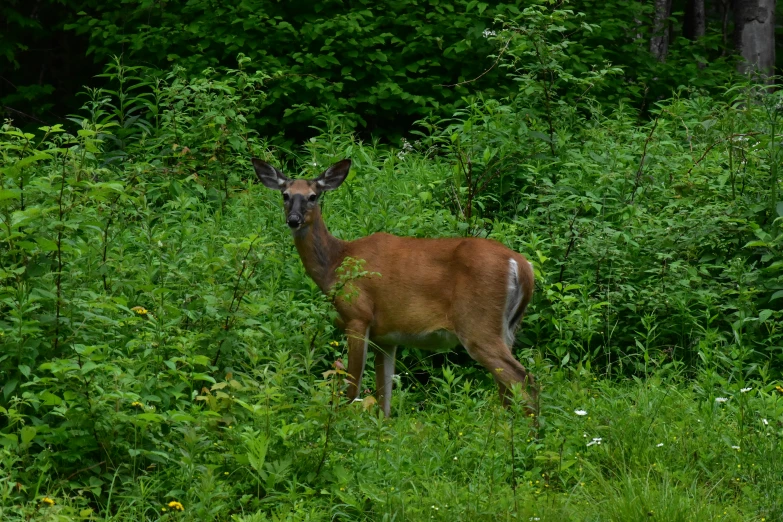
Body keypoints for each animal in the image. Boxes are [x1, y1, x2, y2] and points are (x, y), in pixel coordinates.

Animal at [254, 155, 536, 414]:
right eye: (285, 195)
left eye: (313, 196)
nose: (293, 219)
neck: (336, 263)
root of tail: (522, 265)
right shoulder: (386, 336)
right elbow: (384, 399)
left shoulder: (357, 315)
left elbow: (352, 389)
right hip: (508, 328)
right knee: (508, 388)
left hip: (478, 324)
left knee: (523, 380)